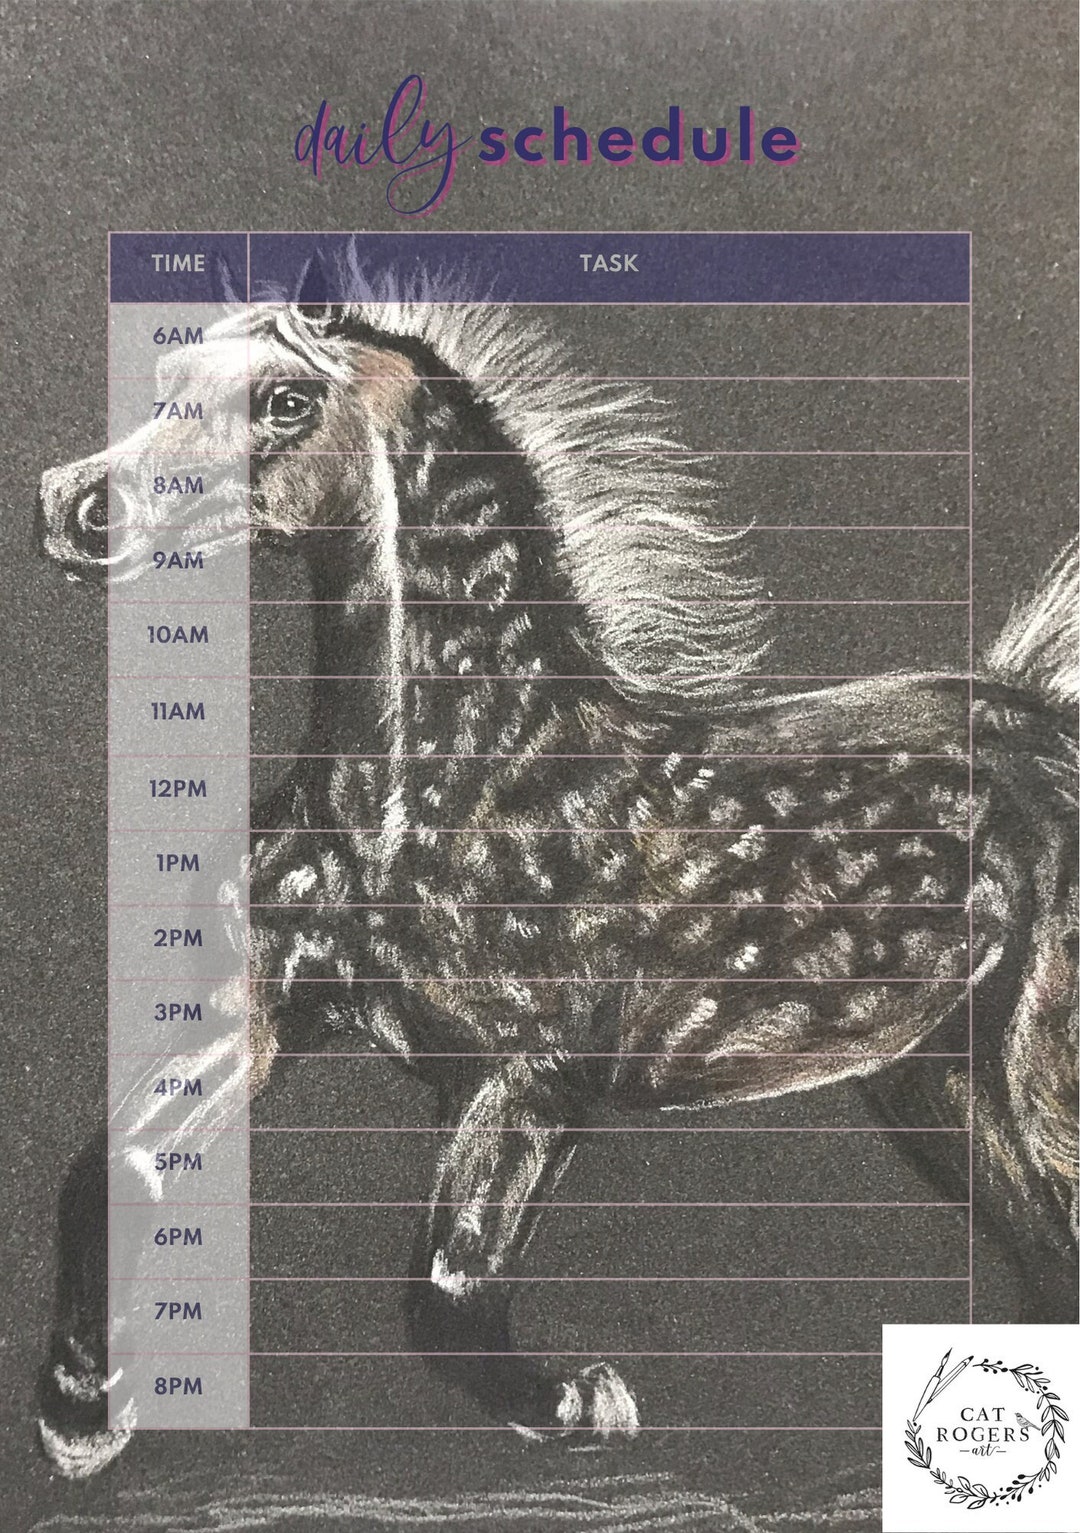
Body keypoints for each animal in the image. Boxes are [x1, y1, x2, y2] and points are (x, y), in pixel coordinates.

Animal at [35, 269, 1078, 1479]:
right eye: (166, 378)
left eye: (288, 402)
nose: (71, 506)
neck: (433, 789)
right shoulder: (262, 1012)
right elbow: (112, 1174)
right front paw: (78, 1416)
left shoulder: (531, 1078)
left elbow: (447, 1291)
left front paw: (582, 1401)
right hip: (940, 1085)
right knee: (1050, 1264)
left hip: (1040, 1076)